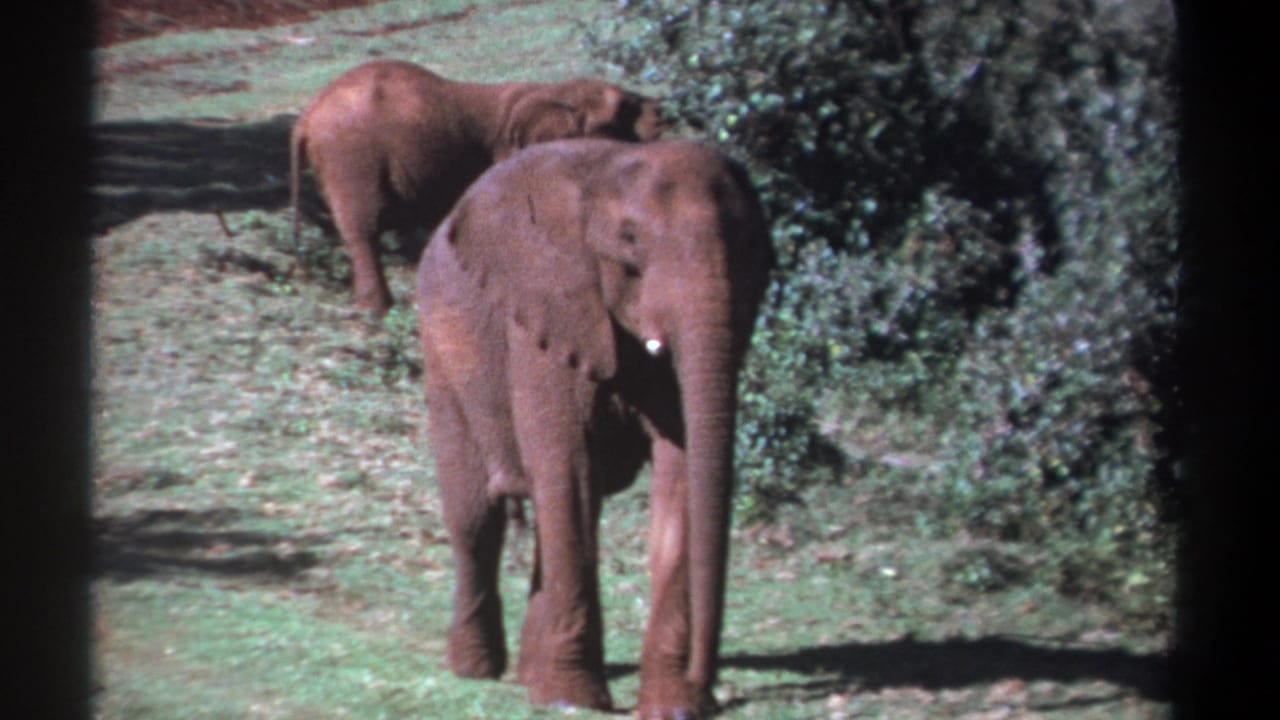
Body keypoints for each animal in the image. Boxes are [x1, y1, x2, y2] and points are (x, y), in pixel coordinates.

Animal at [289, 60, 667, 314]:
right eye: (623, 111)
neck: (552, 93)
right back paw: (378, 311)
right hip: (350, 159)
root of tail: (306, 116)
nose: (663, 113)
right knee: (363, 231)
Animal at [415, 138, 773, 719]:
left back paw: (529, 677)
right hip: (442, 351)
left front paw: (673, 706)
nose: (711, 688)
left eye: (748, 247)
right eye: (629, 242)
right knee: (476, 518)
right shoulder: (548, 313)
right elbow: (569, 465)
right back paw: (476, 670)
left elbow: (680, 474)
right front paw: (574, 700)